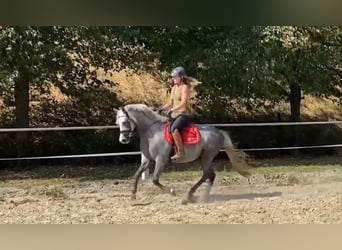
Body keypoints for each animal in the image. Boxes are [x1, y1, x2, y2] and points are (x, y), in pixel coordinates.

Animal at [115, 103, 251, 203]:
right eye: (118, 123)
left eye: (125, 122)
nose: (123, 140)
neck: (151, 131)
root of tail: (219, 132)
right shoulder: (147, 160)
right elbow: (137, 175)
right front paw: (133, 195)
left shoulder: (161, 160)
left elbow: (155, 179)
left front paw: (172, 192)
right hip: (204, 158)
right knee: (209, 175)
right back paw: (195, 195)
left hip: (207, 157)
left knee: (208, 174)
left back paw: (199, 197)